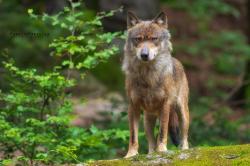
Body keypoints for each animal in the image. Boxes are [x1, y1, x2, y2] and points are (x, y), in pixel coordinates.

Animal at [122, 11, 189, 158]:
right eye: (138, 39)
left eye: (154, 38)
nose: (144, 54)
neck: (148, 76)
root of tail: (176, 61)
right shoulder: (133, 106)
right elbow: (133, 136)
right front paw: (131, 155)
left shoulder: (165, 104)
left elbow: (163, 132)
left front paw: (162, 150)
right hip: (148, 120)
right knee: (151, 142)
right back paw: (151, 153)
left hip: (182, 112)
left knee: (184, 137)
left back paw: (185, 150)